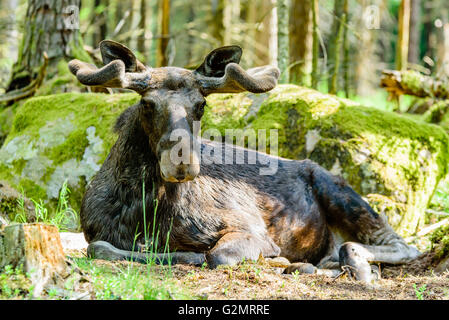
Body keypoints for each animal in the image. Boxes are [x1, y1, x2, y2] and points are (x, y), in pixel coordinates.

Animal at [67, 40, 420, 282]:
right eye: (148, 104)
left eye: (201, 105)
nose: (182, 163)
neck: (146, 210)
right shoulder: (95, 233)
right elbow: (98, 247)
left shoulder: (251, 229)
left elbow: (215, 255)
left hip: (338, 190)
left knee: (401, 245)